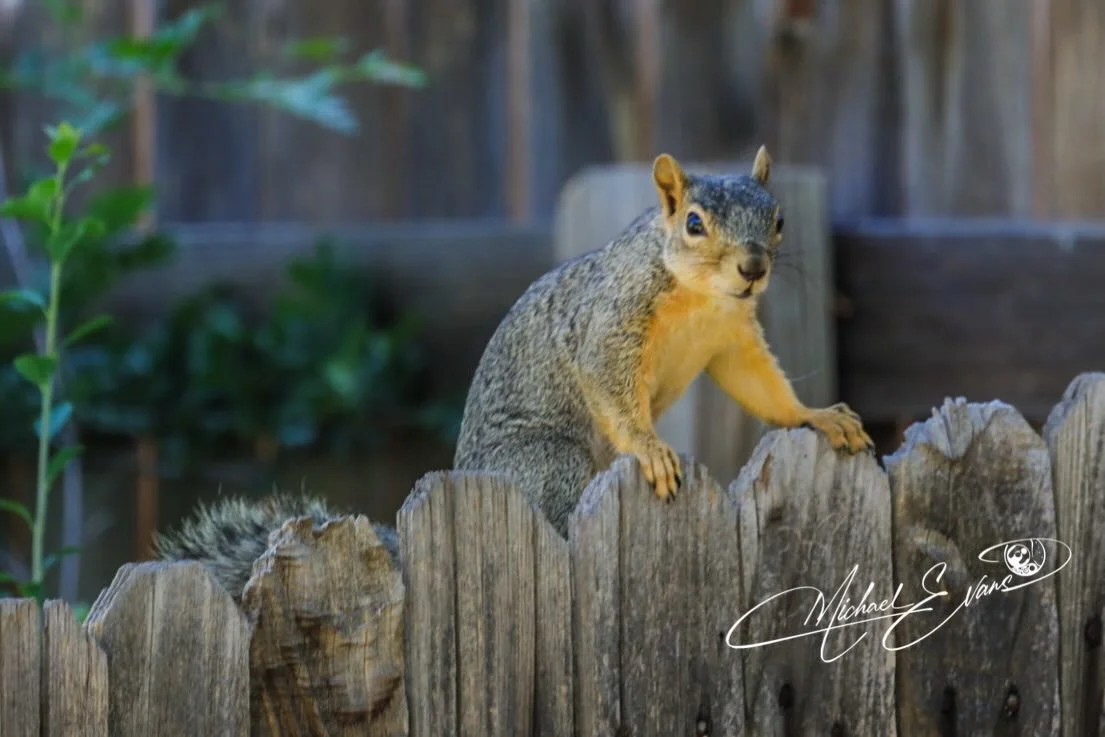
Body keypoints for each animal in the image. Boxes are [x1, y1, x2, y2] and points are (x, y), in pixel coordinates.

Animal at [156, 146, 872, 598]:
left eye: (778, 219)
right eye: (694, 223)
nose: (753, 268)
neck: (701, 298)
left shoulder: (730, 341)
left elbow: (761, 385)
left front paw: (817, 416)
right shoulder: (610, 324)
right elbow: (609, 382)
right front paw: (648, 447)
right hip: (547, 462)